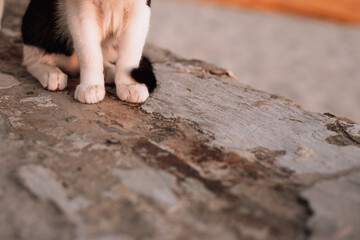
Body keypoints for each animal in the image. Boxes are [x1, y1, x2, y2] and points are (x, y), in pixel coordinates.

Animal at [19, 0, 155, 103]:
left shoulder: (139, 9)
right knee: (31, 56)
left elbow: (131, 51)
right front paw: (91, 85)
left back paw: (108, 70)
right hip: (43, 14)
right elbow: (89, 51)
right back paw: (50, 72)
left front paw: (130, 84)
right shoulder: (80, 11)